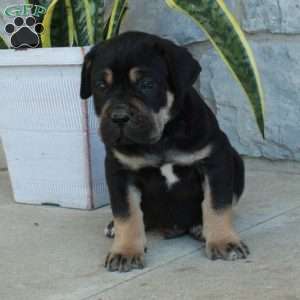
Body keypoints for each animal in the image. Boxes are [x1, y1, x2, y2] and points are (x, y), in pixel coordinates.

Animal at [79, 31, 248, 274]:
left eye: (147, 84)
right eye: (101, 85)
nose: (119, 117)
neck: (162, 138)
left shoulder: (215, 160)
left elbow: (217, 203)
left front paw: (224, 241)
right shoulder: (119, 171)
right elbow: (126, 213)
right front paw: (125, 251)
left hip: (236, 163)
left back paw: (200, 227)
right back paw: (114, 227)